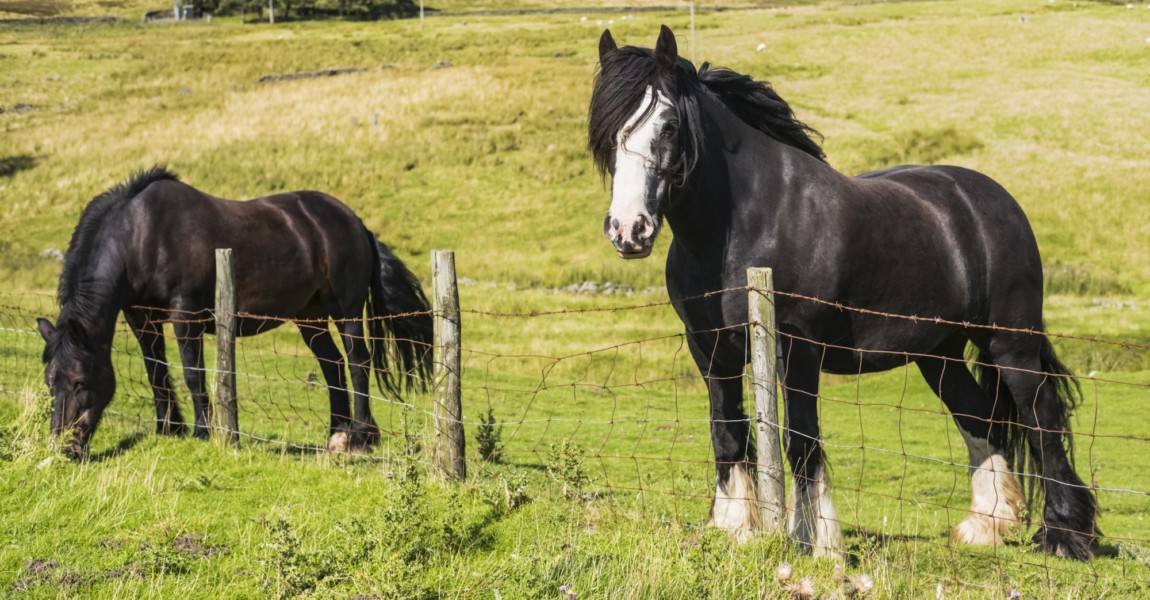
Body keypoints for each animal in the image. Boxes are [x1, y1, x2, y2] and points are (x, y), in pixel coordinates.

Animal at [39, 165, 432, 459]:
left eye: (79, 381)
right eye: (49, 382)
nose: (65, 448)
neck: (142, 235)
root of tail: (355, 221)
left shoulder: (186, 316)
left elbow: (193, 374)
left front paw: (201, 432)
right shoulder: (142, 320)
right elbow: (156, 373)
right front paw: (168, 429)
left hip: (346, 311)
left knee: (357, 362)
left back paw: (361, 437)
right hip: (310, 317)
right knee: (332, 365)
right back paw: (336, 434)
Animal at [588, 26, 1099, 560]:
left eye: (668, 125)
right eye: (606, 130)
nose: (628, 229)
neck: (747, 222)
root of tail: (995, 200)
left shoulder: (798, 347)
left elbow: (800, 439)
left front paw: (816, 541)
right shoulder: (709, 350)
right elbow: (727, 433)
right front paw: (735, 530)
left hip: (1010, 343)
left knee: (1043, 420)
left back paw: (1066, 536)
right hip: (939, 354)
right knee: (980, 419)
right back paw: (986, 526)